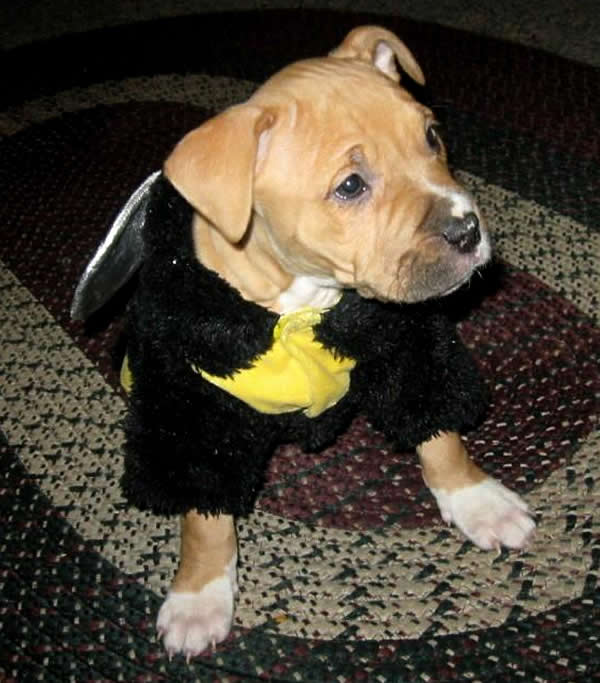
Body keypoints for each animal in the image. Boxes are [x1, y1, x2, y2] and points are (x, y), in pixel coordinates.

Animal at [74, 25, 535, 658]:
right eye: (351, 186)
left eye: (432, 136)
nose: (468, 230)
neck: (306, 304)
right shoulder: (198, 420)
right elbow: (205, 520)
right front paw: (198, 597)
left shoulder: (410, 350)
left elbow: (440, 435)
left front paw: (476, 500)